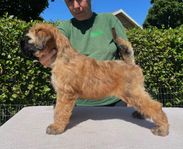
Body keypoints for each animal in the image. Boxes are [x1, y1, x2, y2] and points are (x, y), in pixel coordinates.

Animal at [20, 23, 169, 136]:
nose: (20, 42)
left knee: (155, 106)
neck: (61, 57)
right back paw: (141, 114)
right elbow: (62, 110)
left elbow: (60, 111)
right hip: (135, 92)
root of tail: (129, 63)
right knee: (146, 103)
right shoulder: (65, 95)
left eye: (28, 39)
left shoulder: (65, 94)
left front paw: (56, 127)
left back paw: (162, 128)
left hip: (131, 92)